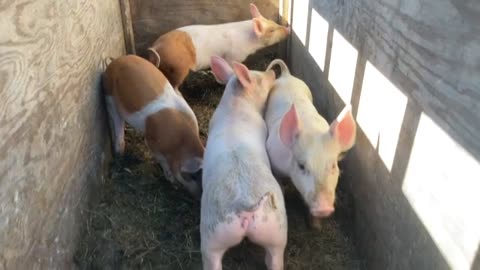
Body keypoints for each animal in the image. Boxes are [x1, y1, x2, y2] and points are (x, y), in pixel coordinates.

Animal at [102, 54, 203, 198]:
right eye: (193, 177)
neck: (180, 143)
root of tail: (115, 61)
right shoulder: (152, 143)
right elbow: (163, 161)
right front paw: (172, 181)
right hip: (109, 96)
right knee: (117, 122)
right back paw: (119, 152)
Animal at [146, 3, 288, 89]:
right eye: (271, 31)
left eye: (272, 22)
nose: (288, 29)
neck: (250, 40)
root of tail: (156, 47)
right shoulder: (233, 57)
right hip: (178, 69)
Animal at [201, 56, 286, 268]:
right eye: (259, 78)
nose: (272, 72)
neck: (235, 106)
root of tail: (246, 205)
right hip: (275, 231)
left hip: (219, 236)